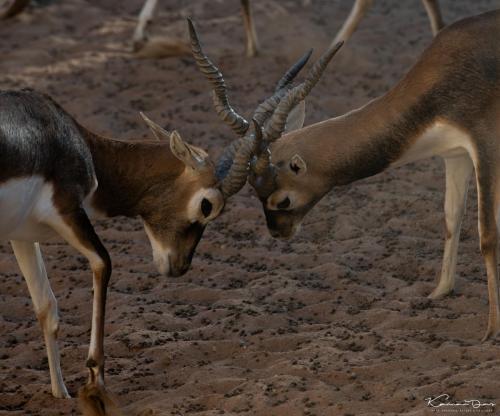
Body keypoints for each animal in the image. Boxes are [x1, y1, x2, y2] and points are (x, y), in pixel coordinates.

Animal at [198, 10, 500, 342]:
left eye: (283, 200)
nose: (278, 232)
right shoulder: (454, 154)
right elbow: (451, 218)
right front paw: (440, 292)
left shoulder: (486, 147)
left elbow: (488, 236)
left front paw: (491, 330)